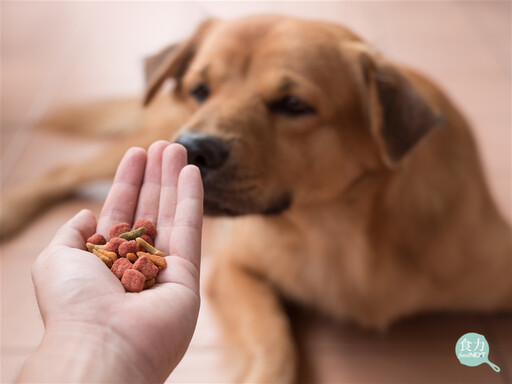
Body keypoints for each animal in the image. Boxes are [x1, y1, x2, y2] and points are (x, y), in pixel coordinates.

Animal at [2, 14, 510, 380]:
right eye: (200, 89)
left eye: (294, 105)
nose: (193, 147)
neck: (340, 231)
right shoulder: (233, 270)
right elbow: (275, 341)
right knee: (61, 170)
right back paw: (10, 210)